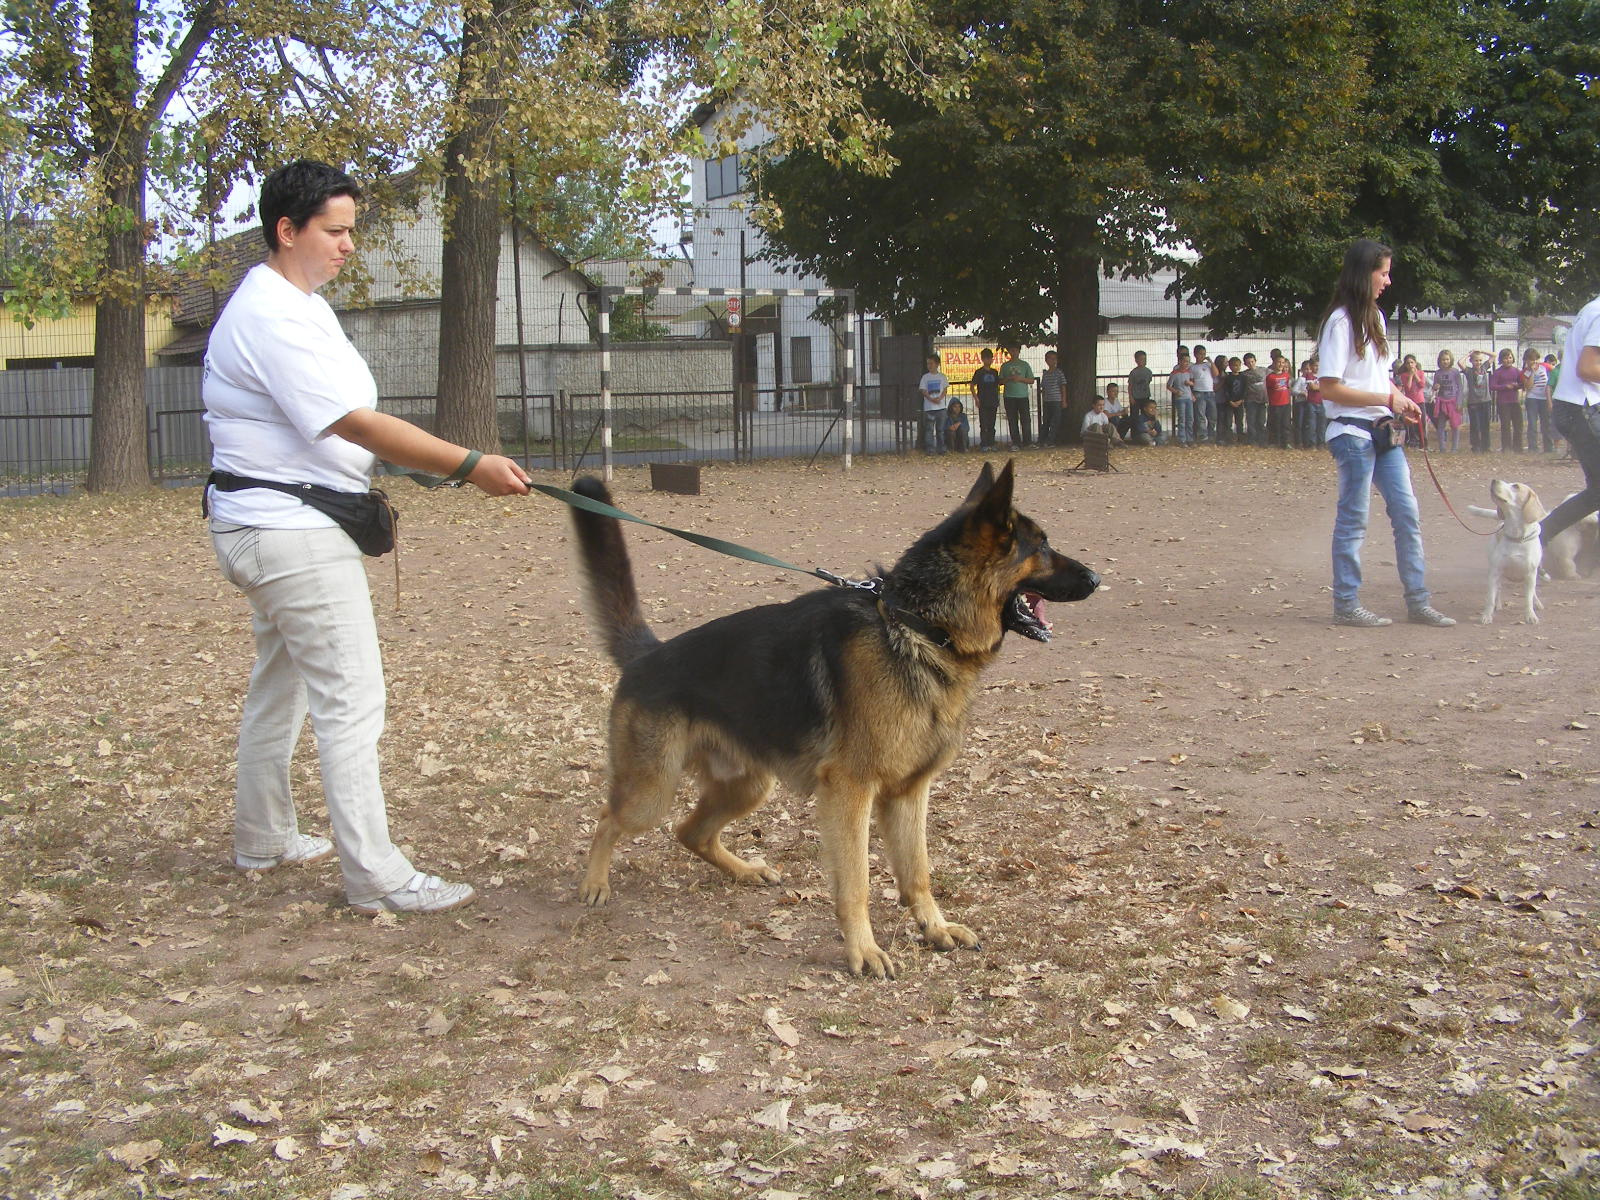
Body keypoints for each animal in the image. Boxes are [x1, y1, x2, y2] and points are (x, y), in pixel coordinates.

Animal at [563, 460, 1100, 979]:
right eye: (1041, 546)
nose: (1096, 578)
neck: (918, 627)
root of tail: (646, 656)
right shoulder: (851, 792)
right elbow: (856, 882)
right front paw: (863, 951)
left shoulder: (910, 792)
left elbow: (918, 872)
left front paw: (934, 928)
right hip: (651, 793)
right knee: (609, 819)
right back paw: (594, 882)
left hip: (748, 787)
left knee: (689, 832)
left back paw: (744, 871)